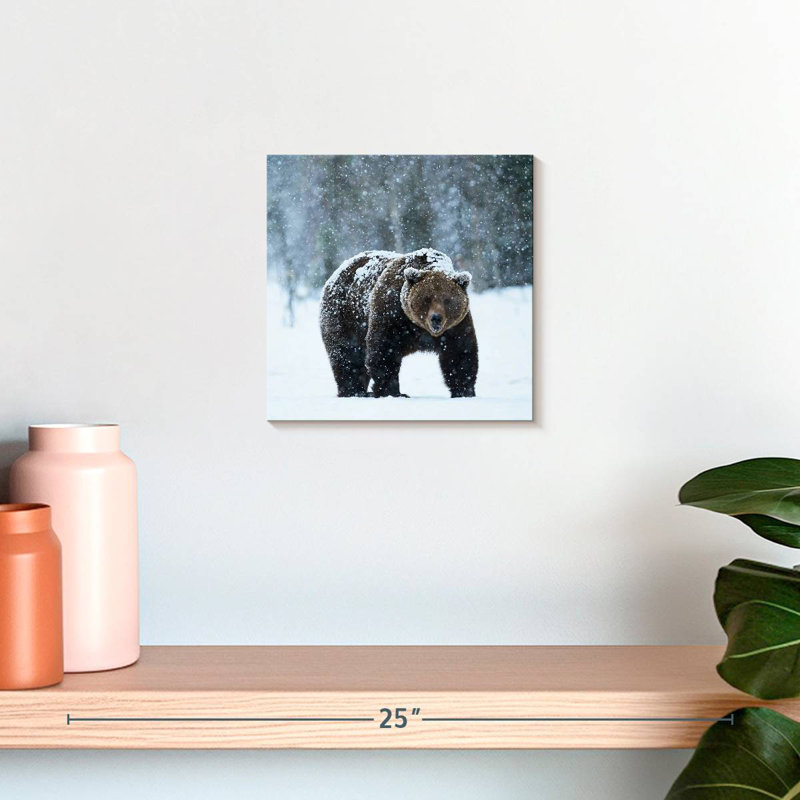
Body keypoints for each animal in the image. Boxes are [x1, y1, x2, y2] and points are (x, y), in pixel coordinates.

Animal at [319, 248, 478, 398]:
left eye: (447, 300)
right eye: (427, 298)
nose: (436, 318)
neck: (419, 328)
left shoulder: (456, 326)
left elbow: (460, 353)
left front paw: (464, 391)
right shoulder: (391, 314)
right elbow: (384, 351)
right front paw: (393, 392)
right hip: (344, 317)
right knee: (348, 356)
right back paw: (354, 391)